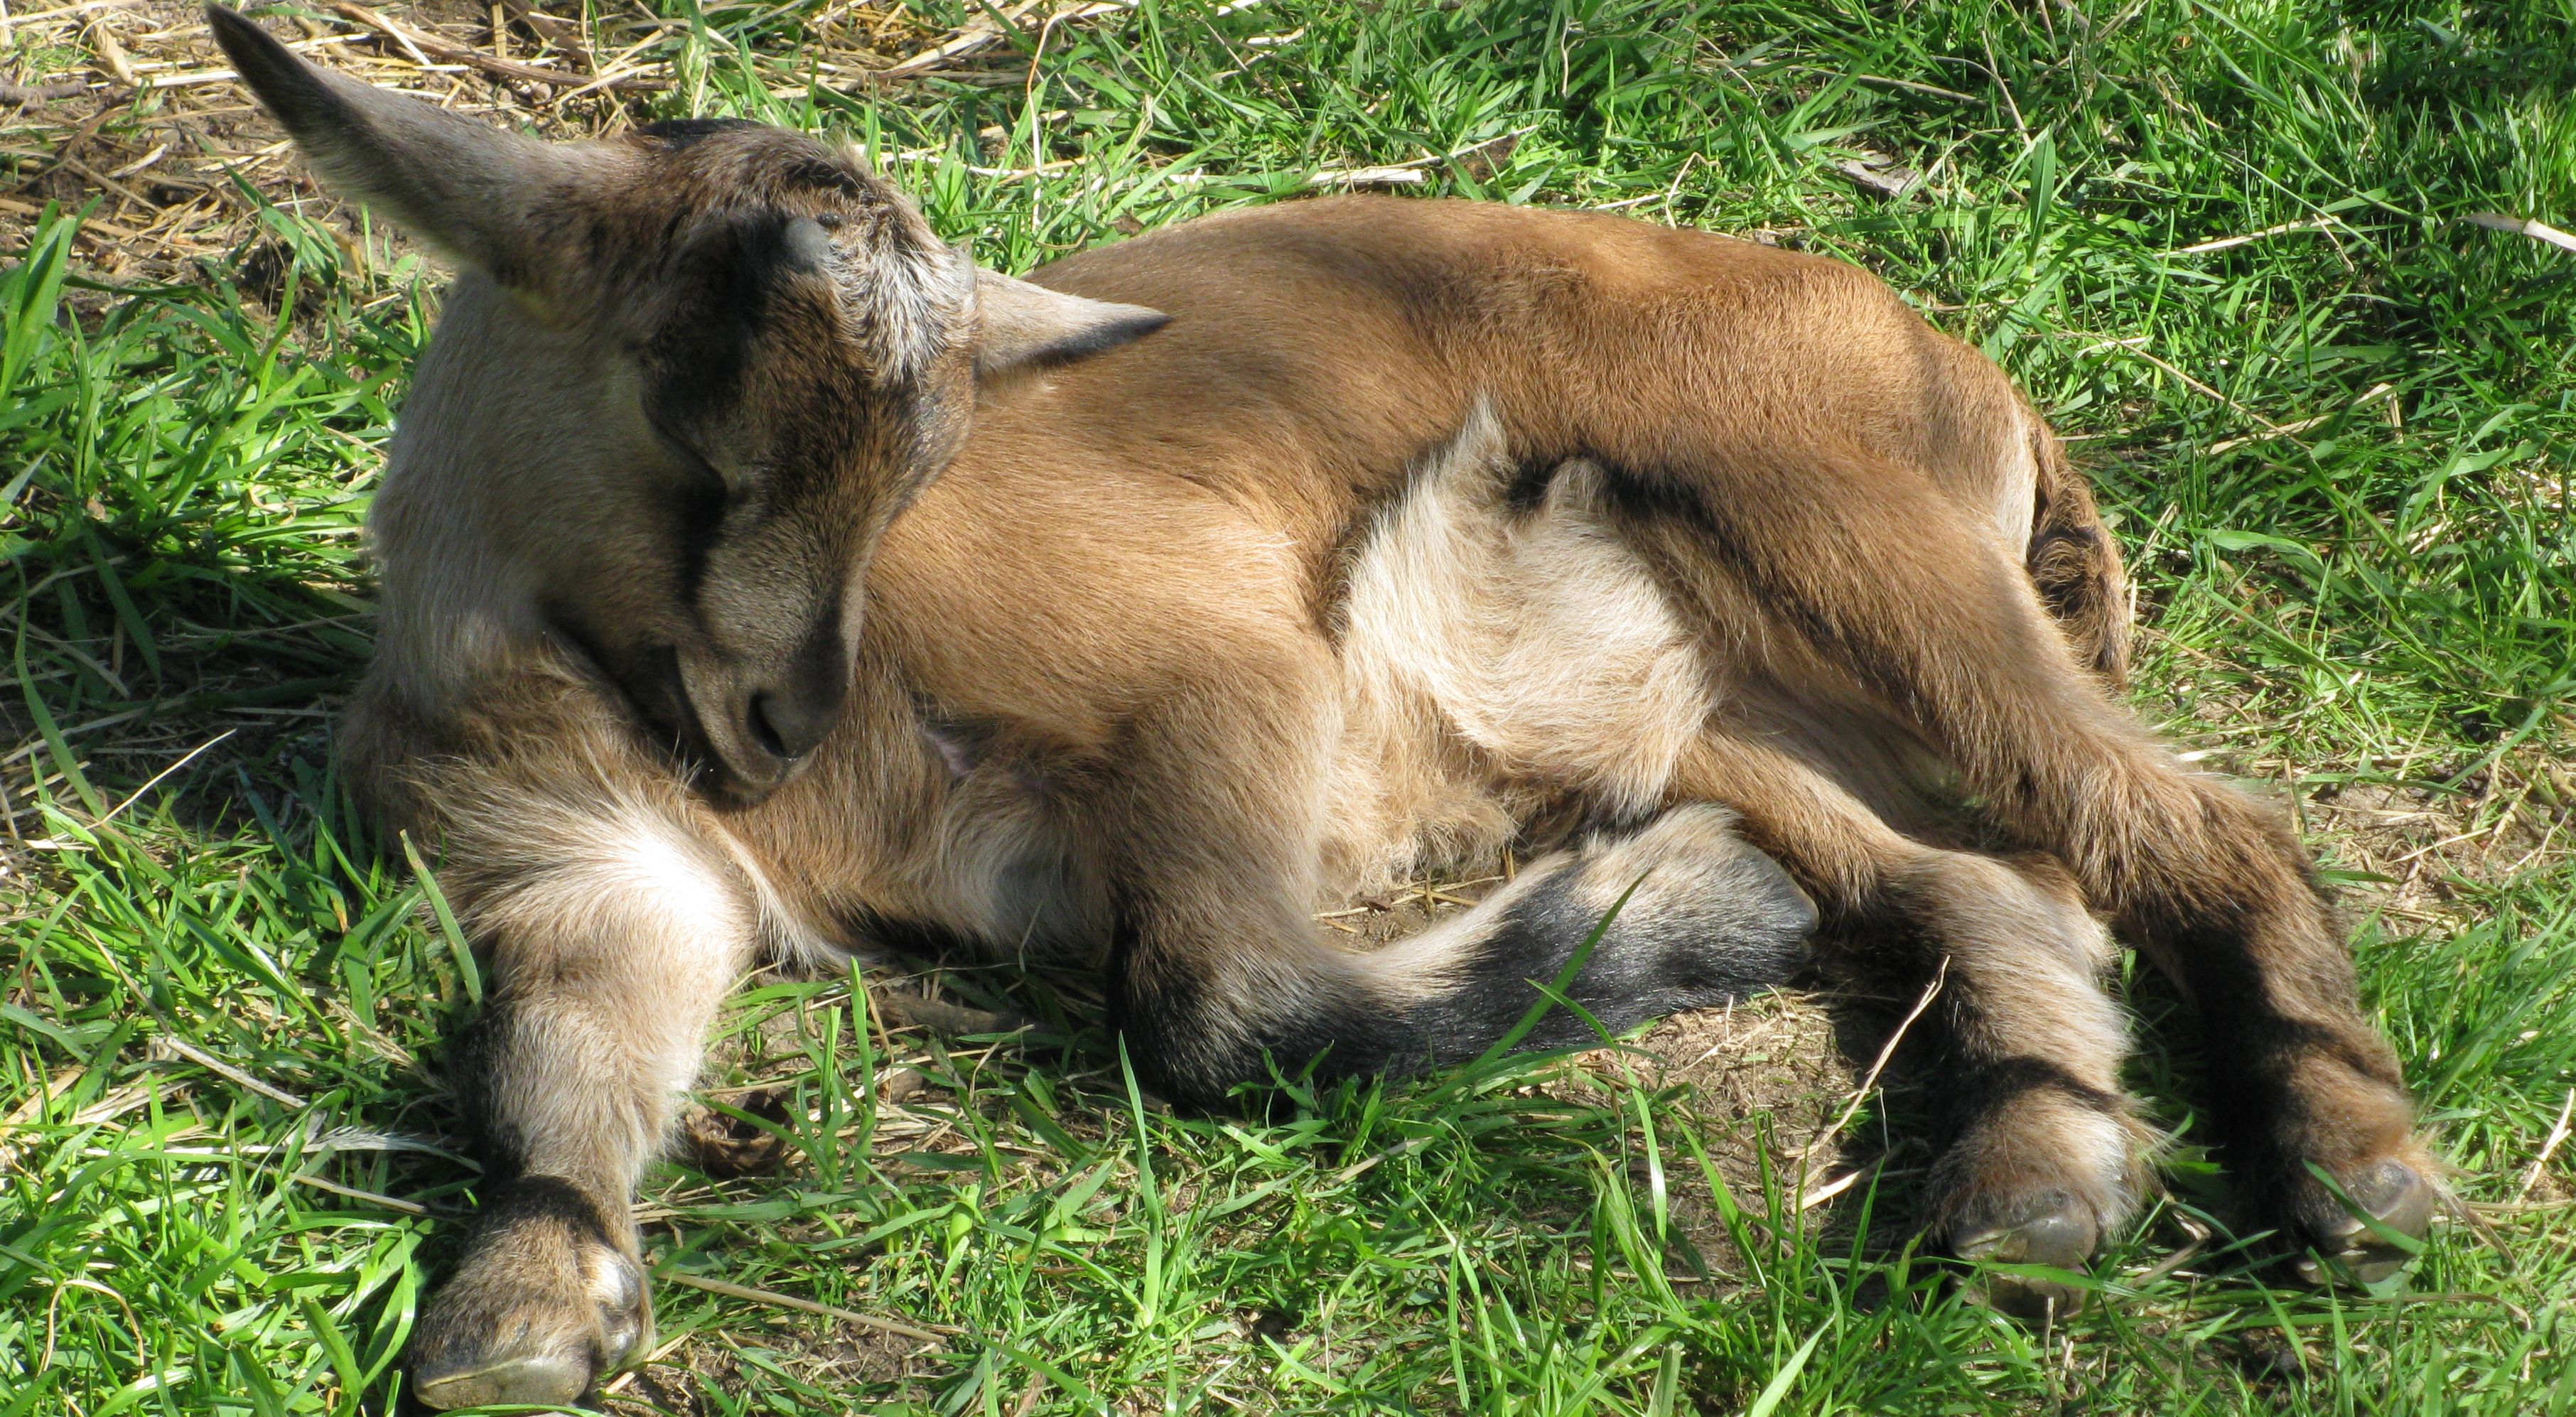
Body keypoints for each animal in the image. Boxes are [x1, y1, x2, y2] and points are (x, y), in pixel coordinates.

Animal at [211, 11, 2442, 1411]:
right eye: (693, 429)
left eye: (927, 465)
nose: (778, 721)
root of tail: (1945, 357)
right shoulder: (591, 867)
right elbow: (552, 1074)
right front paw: (520, 1311)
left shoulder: (1219, 666)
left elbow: (1217, 1005)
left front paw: (1693, 916)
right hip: (1738, 696)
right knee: (1999, 879)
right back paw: (2034, 1191)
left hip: (1845, 529)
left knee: (2195, 824)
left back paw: (2353, 1176)